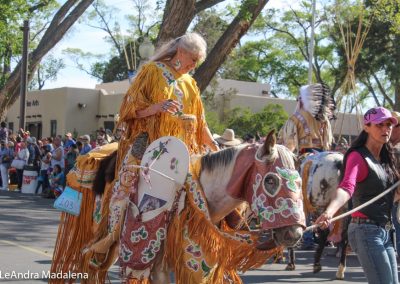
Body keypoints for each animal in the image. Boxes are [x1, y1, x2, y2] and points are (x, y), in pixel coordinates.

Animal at [50, 131, 306, 284]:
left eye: (300, 181)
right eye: (270, 180)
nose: (294, 234)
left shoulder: (201, 265)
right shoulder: (161, 267)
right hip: (101, 238)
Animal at [284, 151, 350, 280]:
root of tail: (339, 162)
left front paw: (291, 263)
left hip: (321, 204)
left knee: (325, 232)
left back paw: (317, 264)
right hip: (344, 208)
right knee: (344, 236)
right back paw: (340, 270)